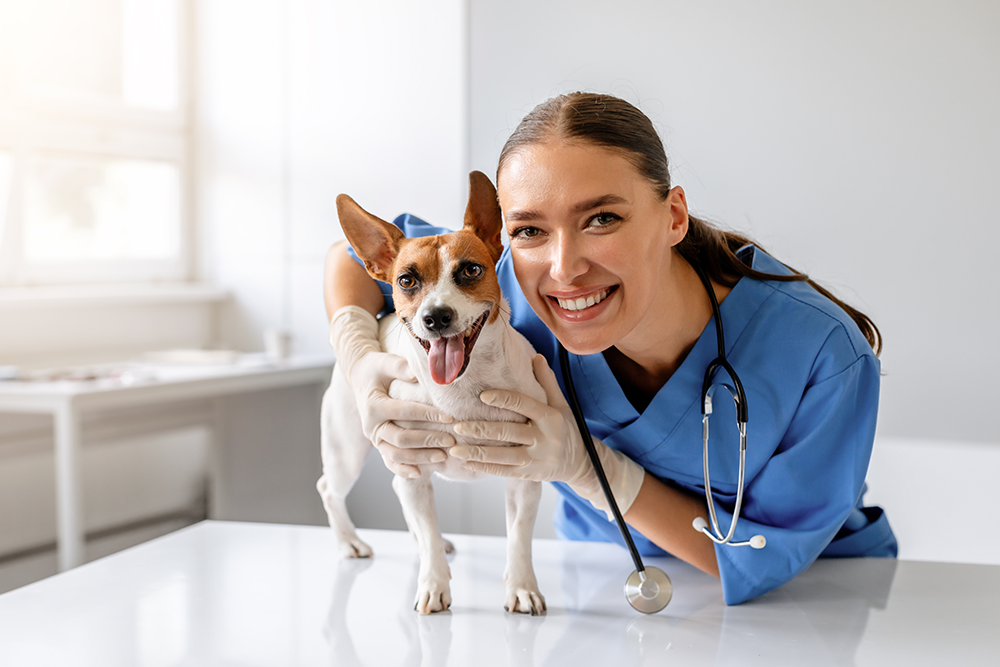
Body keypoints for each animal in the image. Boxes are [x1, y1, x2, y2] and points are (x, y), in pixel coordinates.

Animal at [316, 172, 548, 616]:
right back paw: (349, 541)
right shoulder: (411, 463)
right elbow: (426, 533)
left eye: (471, 270)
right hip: (350, 450)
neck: (462, 385)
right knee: (331, 489)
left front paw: (522, 587)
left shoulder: (525, 477)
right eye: (407, 280)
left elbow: (519, 536)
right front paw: (433, 583)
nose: (436, 317)